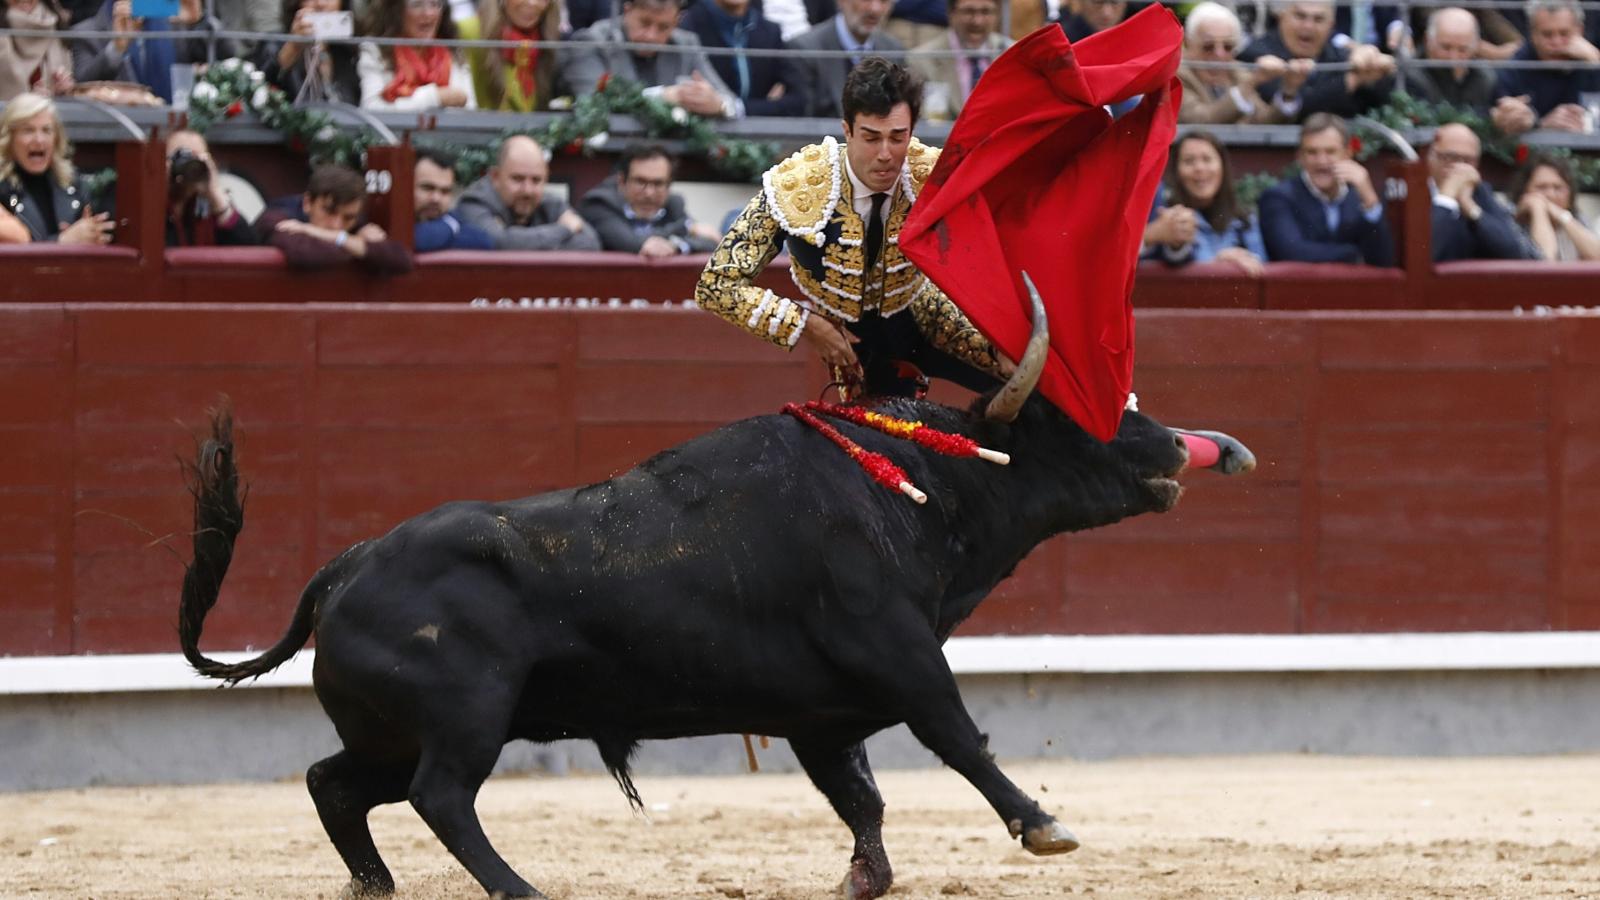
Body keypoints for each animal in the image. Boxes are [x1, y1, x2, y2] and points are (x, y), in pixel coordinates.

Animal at [175, 301, 1248, 896]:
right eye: (1077, 422)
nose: (1179, 448)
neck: (914, 483)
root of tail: (347, 565)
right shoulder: (900, 654)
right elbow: (959, 738)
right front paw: (1042, 825)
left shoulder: (823, 713)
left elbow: (859, 796)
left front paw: (864, 879)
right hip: (465, 719)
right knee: (441, 797)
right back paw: (522, 891)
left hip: (390, 732)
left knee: (336, 784)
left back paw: (377, 887)